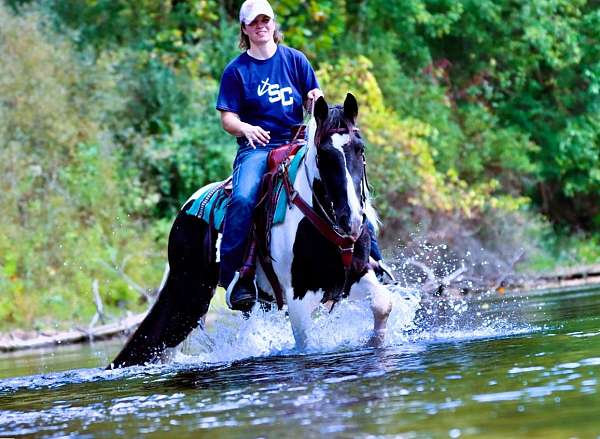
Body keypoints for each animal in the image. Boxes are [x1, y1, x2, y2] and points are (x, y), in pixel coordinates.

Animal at [109, 94, 394, 370]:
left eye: (360, 148)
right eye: (323, 155)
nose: (351, 221)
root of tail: (185, 210)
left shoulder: (353, 275)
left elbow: (383, 304)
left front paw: (374, 344)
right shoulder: (298, 298)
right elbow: (306, 346)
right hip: (189, 294)